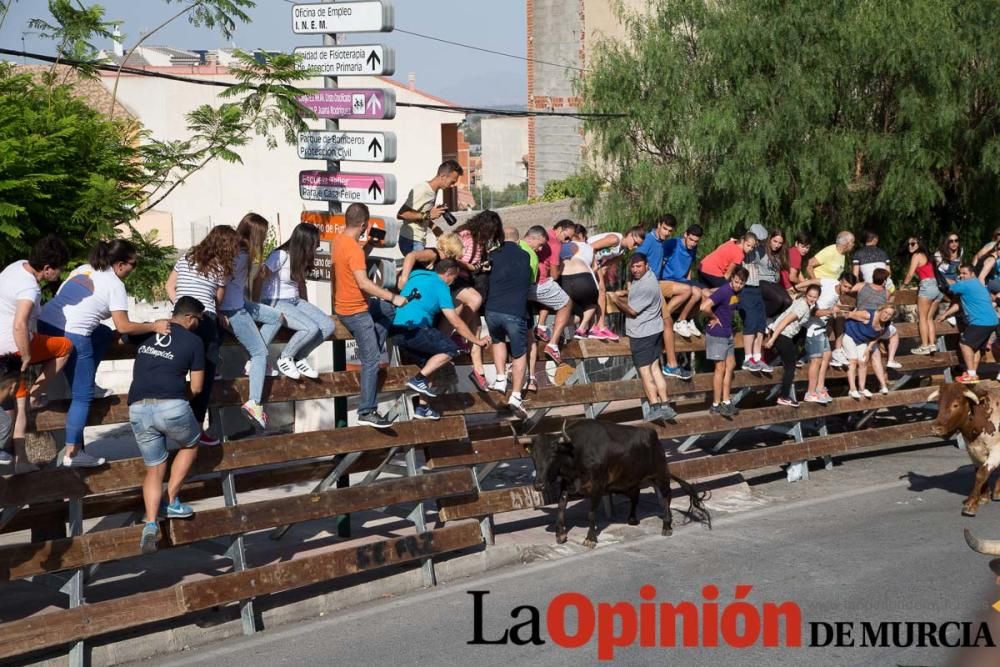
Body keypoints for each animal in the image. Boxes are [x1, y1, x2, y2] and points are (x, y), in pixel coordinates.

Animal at [520, 420, 708, 552]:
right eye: (533, 456)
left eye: (553, 454)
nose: (538, 485)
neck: (576, 453)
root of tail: (653, 435)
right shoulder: (567, 485)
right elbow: (560, 507)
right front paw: (560, 534)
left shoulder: (597, 487)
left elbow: (591, 513)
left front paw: (590, 539)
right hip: (629, 482)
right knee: (636, 495)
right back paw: (632, 518)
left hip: (660, 475)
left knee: (666, 497)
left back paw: (667, 526)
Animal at [932, 380, 1000, 516]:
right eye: (938, 404)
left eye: (955, 405)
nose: (936, 428)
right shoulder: (972, 451)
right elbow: (978, 471)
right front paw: (983, 497)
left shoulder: (997, 451)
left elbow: (981, 473)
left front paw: (971, 504)